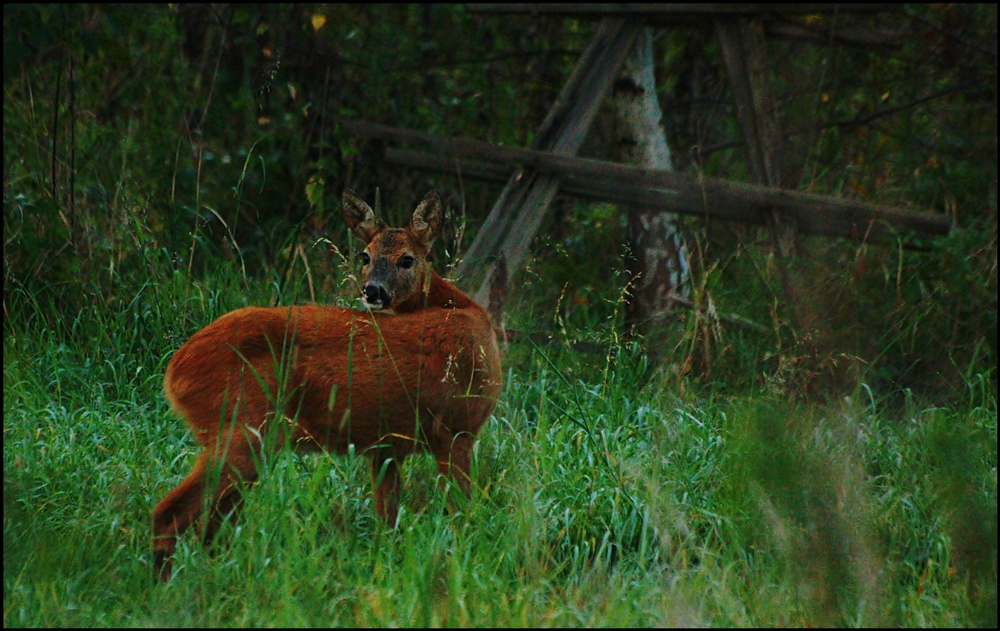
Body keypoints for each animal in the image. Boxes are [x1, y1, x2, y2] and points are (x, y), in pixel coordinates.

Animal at [152, 189, 504, 584]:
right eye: (365, 256)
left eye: (407, 259)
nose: (372, 291)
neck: (472, 317)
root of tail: (175, 372)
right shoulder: (458, 428)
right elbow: (461, 515)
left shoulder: (386, 447)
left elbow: (388, 520)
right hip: (241, 428)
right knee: (170, 513)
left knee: (212, 527)